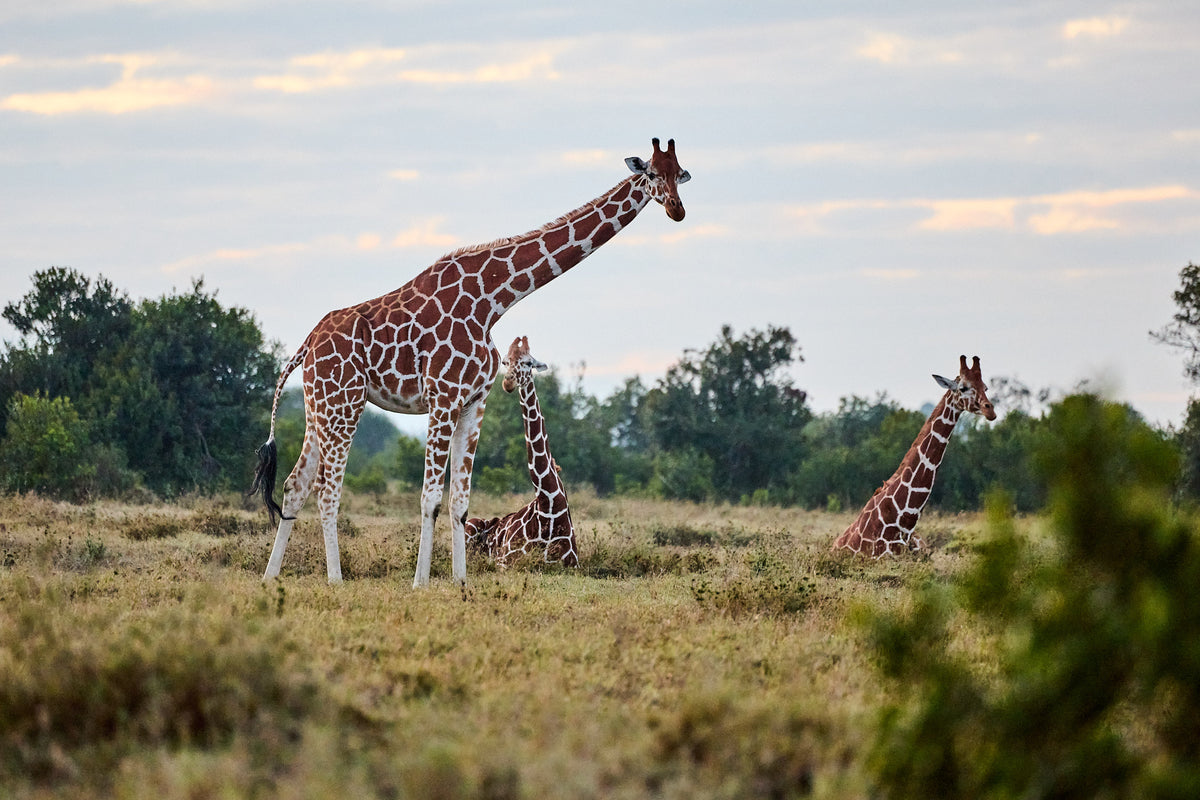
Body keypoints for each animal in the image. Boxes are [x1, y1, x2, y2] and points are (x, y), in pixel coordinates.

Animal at [465, 336, 578, 568]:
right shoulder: (505, 563)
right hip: (469, 527)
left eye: (528, 362)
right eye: (505, 362)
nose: (508, 382)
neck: (548, 506)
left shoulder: (574, 564)